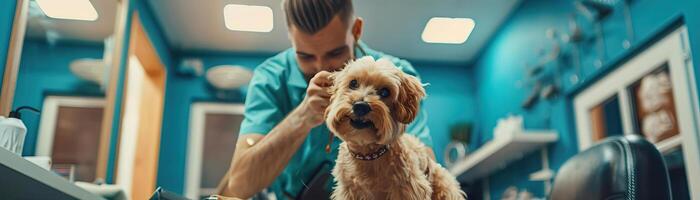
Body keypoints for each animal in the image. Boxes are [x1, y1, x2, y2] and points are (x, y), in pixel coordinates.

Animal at [326, 56, 468, 200]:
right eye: (353, 83)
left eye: (385, 92)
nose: (360, 106)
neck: (368, 155)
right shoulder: (347, 191)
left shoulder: (408, 188)